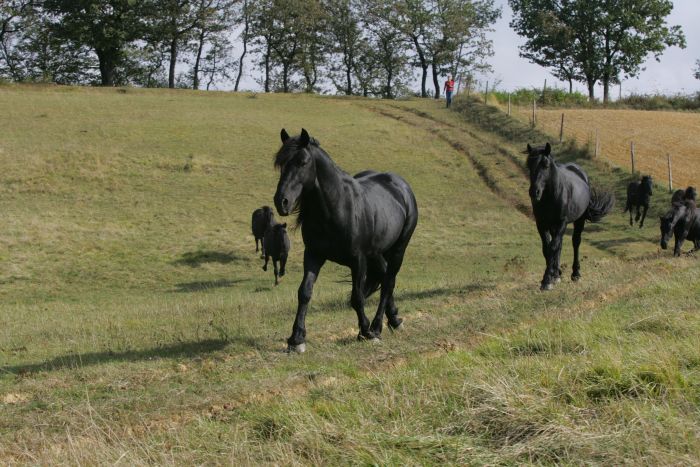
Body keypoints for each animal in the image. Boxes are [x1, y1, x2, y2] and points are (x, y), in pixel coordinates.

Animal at [272, 126, 416, 352]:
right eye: (281, 163)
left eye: (302, 162)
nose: (281, 202)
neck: (335, 208)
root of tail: (401, 186)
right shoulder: (313, 256)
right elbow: (304, 293)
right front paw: (296, 339)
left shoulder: (358, 260)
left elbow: (357, 297)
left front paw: (365, 332)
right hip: (376, 253)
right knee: (385, 277)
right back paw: (394, 320)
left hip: (398, 249)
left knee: (388, 282)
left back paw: (377, 327)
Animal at [528, 143, 616, 290]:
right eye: (529, 164)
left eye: (546, 165)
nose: (534, 192)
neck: (550, 196)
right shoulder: (541, 223)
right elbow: (547, 248)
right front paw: (551, 277)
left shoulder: (561, 223)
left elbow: (553, 247)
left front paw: (547, 280)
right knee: (559, 244)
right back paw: (557, 274)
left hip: (579, 221)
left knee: (575, 242)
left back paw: (576, 274)